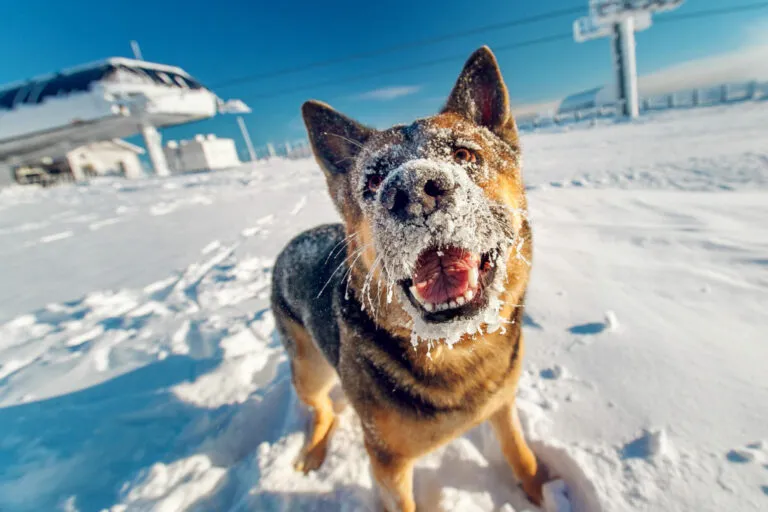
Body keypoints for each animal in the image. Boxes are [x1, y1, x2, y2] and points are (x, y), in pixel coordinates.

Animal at [272, 46, 544, 510]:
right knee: (321, 409)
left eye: (465, 156)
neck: (454, 348)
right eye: (373, 180)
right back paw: (313, 452)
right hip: (310, 369)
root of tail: (292, 243)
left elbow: (521, 454)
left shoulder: (503, 405)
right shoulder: (388, 464)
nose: (414, 191)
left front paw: (543, 491)